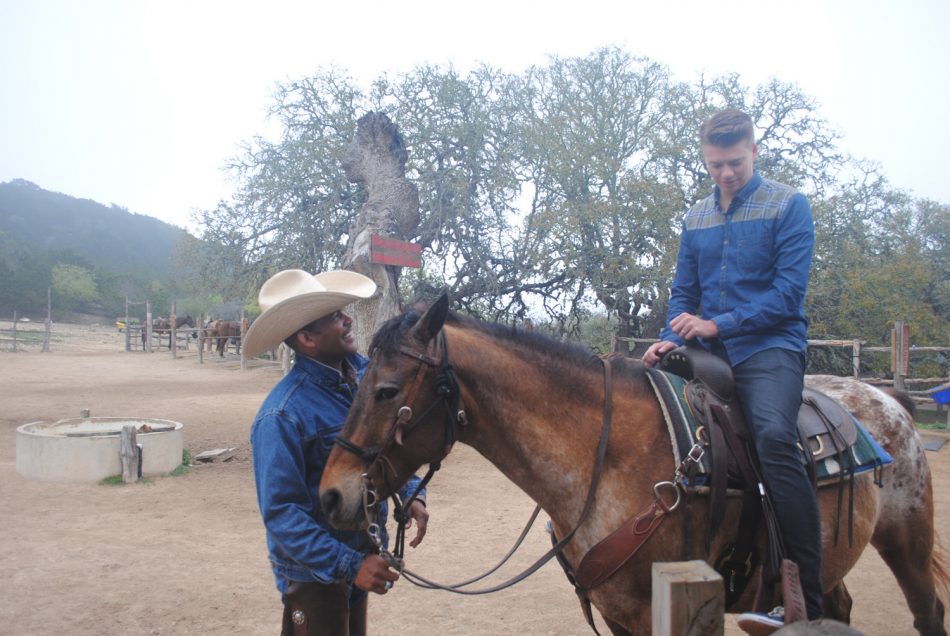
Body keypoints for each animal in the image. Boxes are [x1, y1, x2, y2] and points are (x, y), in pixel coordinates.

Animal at [322, 296, 950, 636]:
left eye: (386, 390)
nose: (331, 494)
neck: (605, 459)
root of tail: (888, 399)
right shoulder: (620, 616)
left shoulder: (659, 613)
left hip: (907, 543)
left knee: (928, 611)